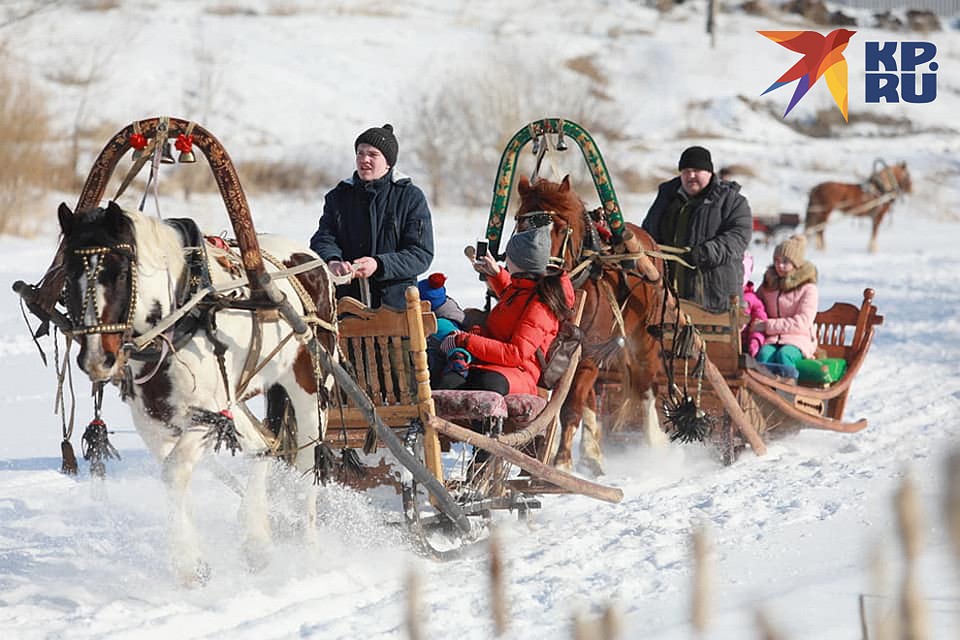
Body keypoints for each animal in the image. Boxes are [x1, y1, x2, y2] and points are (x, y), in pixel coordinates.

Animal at [58, 201, 338, 584]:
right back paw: (257, 539)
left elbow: (174, 472)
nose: (98, 359)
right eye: (69, 274)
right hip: (235, 399)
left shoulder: (206, 416)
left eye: (119, 272)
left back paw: (307, 548)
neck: (181, 313)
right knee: (263, 446)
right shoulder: (155, 419)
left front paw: (187, 563)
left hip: (310, 387)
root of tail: (312, 259)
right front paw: (197, 557)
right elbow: (172, 472)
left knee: (310, 461)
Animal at [516, 175, 668, 476]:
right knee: (593, 398)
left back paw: (653, 443)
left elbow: (569, 407)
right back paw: (591, 453)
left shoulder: (586, 355)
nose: (533, 269)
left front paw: (562, 462)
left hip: (644, 338)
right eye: (519, 223)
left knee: (647, 384)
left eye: (560, 228)